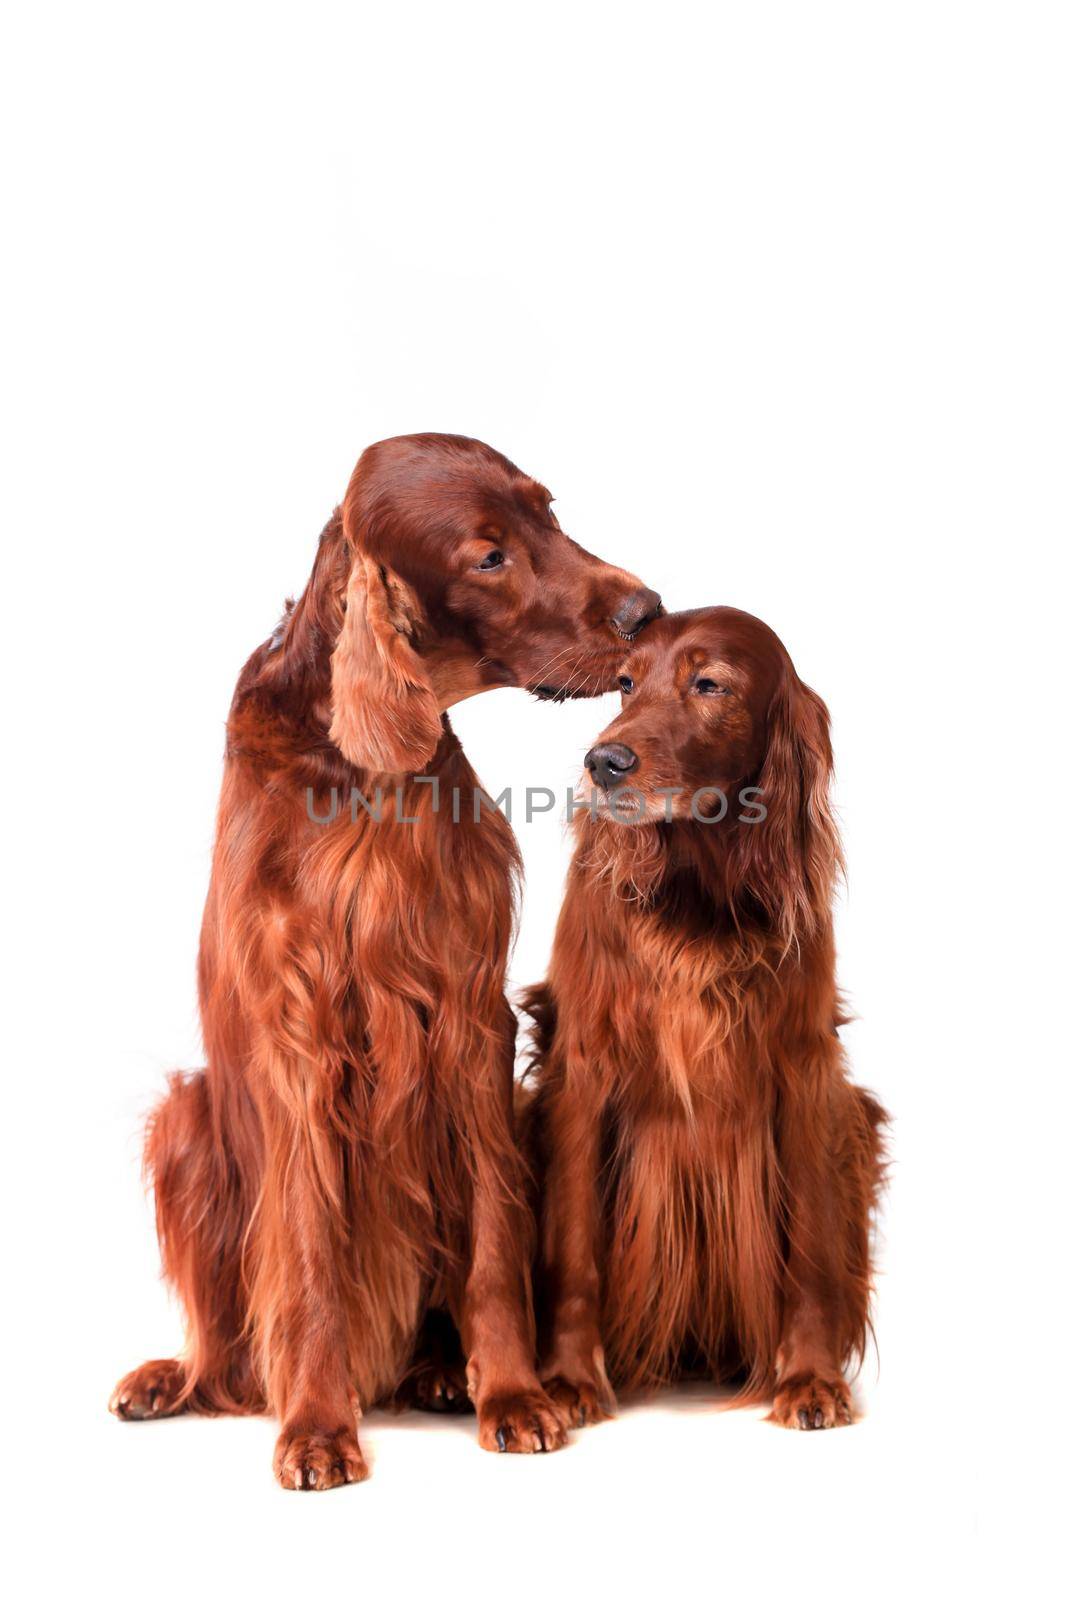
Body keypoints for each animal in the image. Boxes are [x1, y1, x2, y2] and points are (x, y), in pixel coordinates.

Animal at [109, 432, 656, 1478]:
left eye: (549, 511)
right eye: (489, 557)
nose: (646, 613)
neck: (359, 770)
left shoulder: (470, 1025)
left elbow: (492, 1246)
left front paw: (513, 1395)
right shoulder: (302, 1042)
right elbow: (311, 1256)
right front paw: (318, 1426)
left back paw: (440, 1372)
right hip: (189, 1117)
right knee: (224, 1348)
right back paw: (177, 1378)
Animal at [521, 604, 877, 1433]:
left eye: (709, 684)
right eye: (625, 683)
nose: (604, 761)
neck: (700, 889)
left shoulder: (804, 1070)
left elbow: (810, 1247)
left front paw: (809, 1378)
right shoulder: (581, 1069)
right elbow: (574, 1246)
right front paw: (569, 1380)